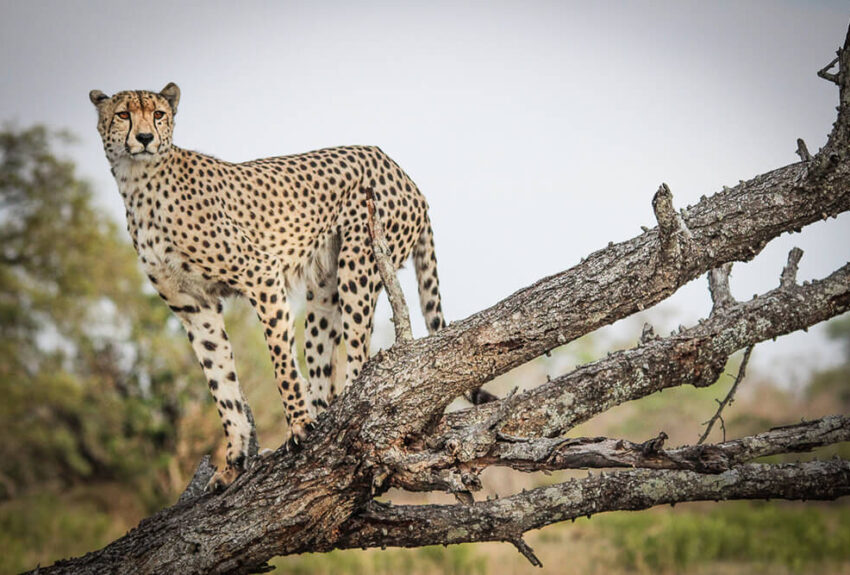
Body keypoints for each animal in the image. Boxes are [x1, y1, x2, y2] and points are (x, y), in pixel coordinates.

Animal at [89, 83, 446, 489]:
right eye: (123, 114)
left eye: (158, 114)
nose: (146, 137)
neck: (139, 182)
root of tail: (399, 169)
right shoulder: (194, 306)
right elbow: (222, 384)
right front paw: (233, 461)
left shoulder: (262, 274)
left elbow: (281, 364)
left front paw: (299, 426)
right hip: (324, 290)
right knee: (323, 361)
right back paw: (325, 416)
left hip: (359, 265)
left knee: (359, 355)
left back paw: (347, 415)